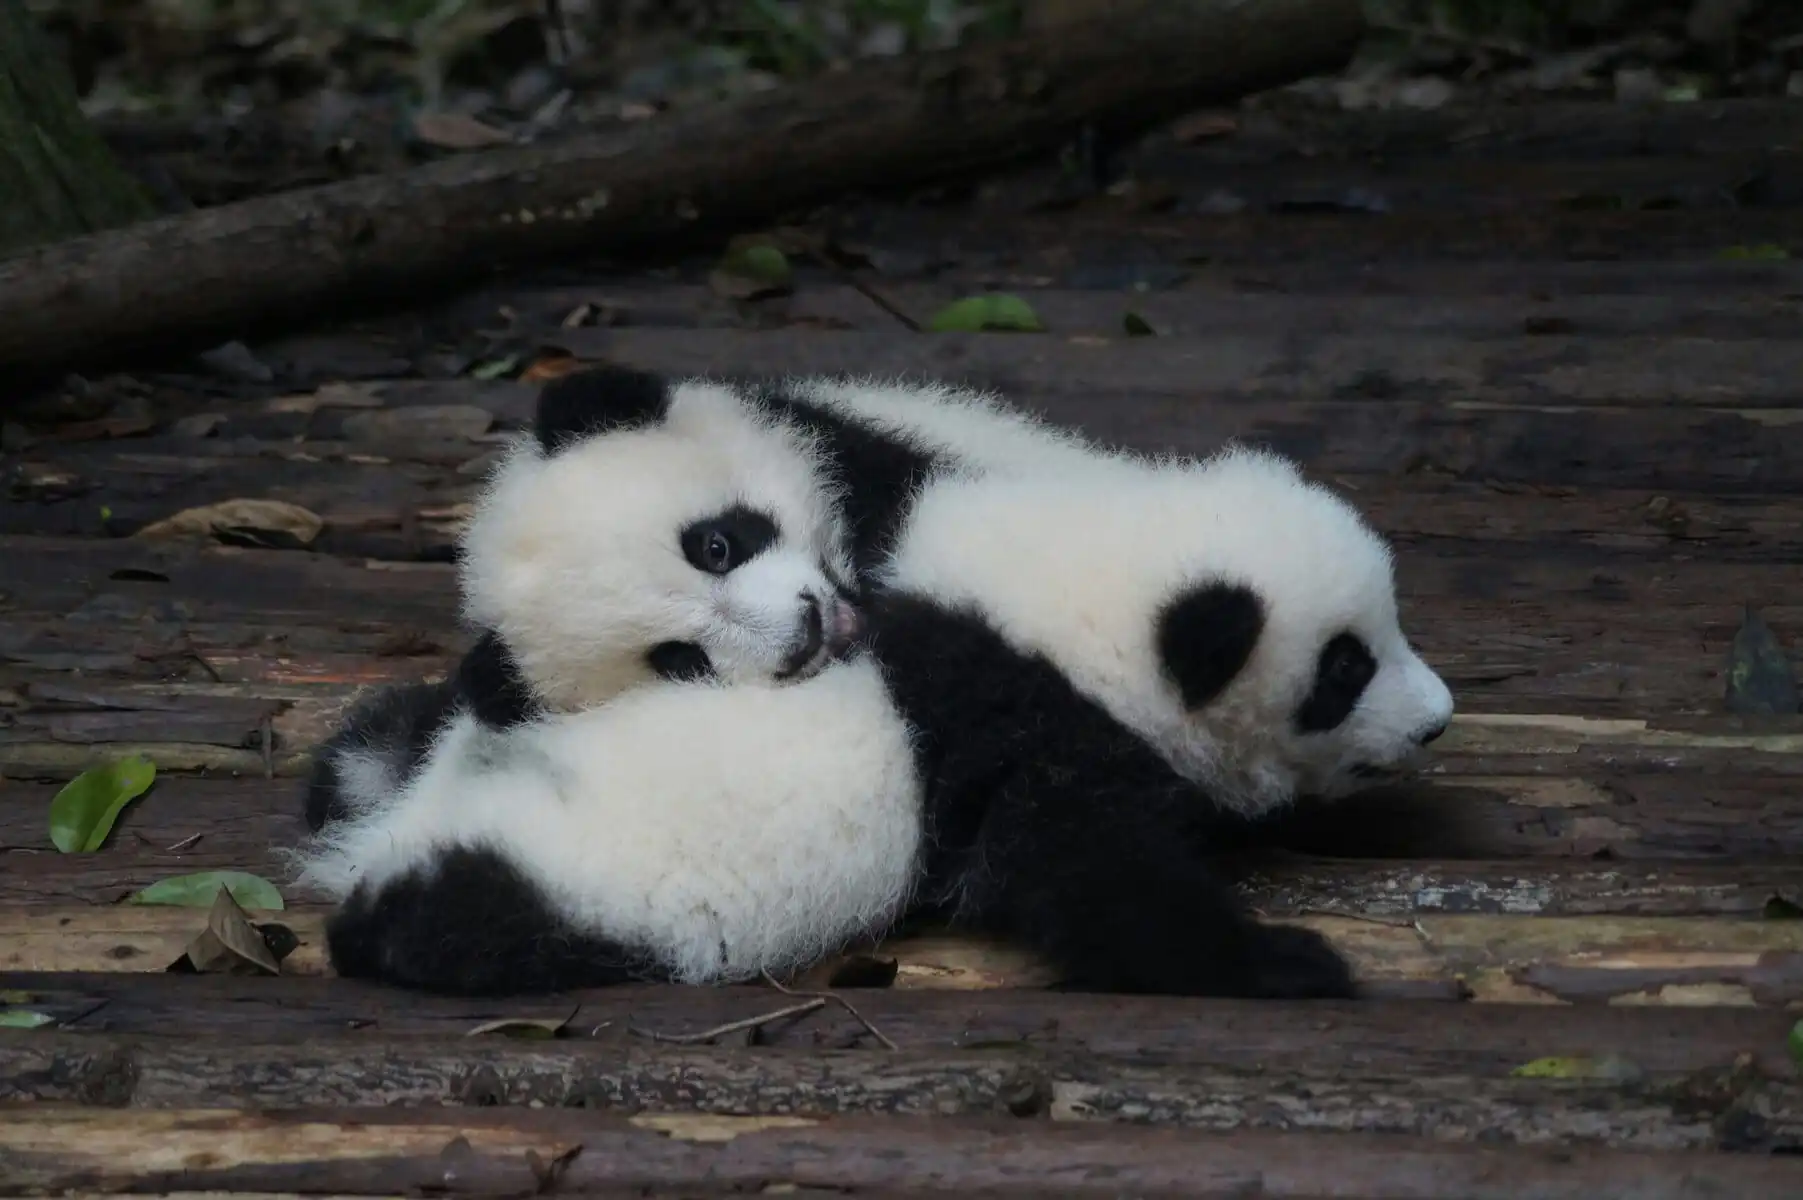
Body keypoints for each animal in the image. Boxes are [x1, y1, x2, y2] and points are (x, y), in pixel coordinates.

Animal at [289, 410, 1455, 999]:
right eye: (1344, 670)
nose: (1436, 717)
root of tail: (399, 826)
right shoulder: (1032, 732)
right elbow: (1086, 877)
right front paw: (1286, 964)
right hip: (556, 884)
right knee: (461, 916)